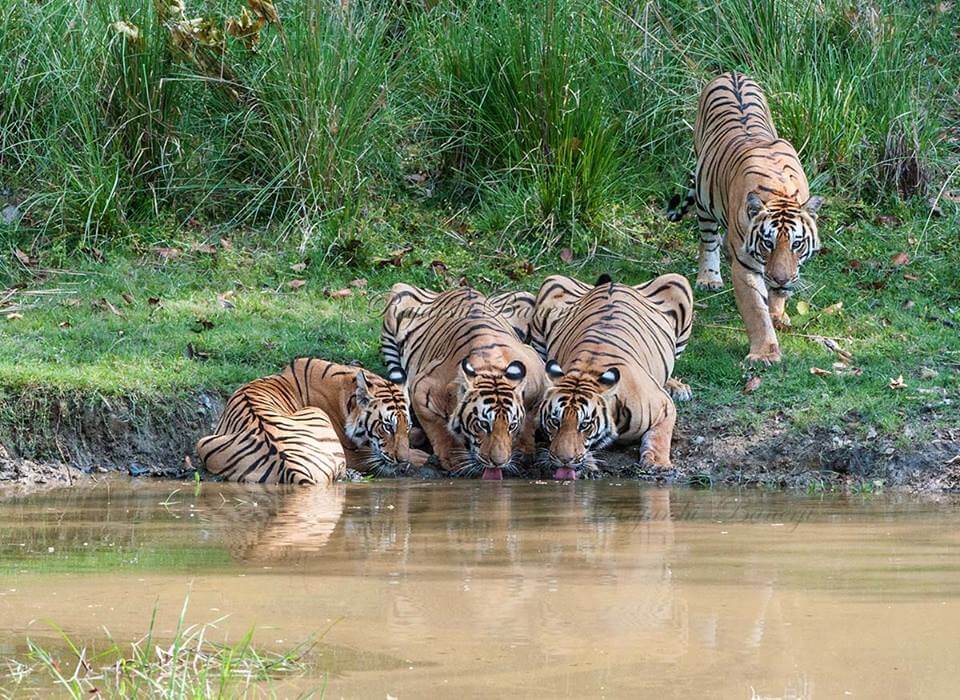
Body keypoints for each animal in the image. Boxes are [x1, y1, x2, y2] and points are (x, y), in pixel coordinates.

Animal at [197, 358, 420, 485]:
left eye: (407, 426)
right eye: (387, 427)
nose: (403, 461)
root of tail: (291, 468)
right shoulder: (350, 450)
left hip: (204, 442)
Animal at [381, 284, 547, 480]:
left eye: (511, 425)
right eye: (483, 425)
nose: (499, 462)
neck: (490, 367)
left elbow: (529, 419)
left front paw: (523, 451)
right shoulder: (421, 390)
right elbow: (440, 428)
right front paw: (455, 459)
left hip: (525, 297)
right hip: (397, 297)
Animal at [531, 273, 693, 480]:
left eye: (584, 425)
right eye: (555, 422)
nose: (563, 460)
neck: (586, 370)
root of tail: (614, 283)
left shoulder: (664, 406)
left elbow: (660, 436)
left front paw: (658, 464)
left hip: (678, 281)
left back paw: (678, 388)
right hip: (552, 284)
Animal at [667, 72, 824, 364]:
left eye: (797, 244)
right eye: (767, 243)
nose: (781, 279)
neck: (780, 191)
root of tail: (732, 73)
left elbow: (774, 298)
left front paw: (778, 312)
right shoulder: (746, 266)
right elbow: (755, 310)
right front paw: (765, 352)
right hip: (704, 198)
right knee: (708, 239)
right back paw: (709, 278)